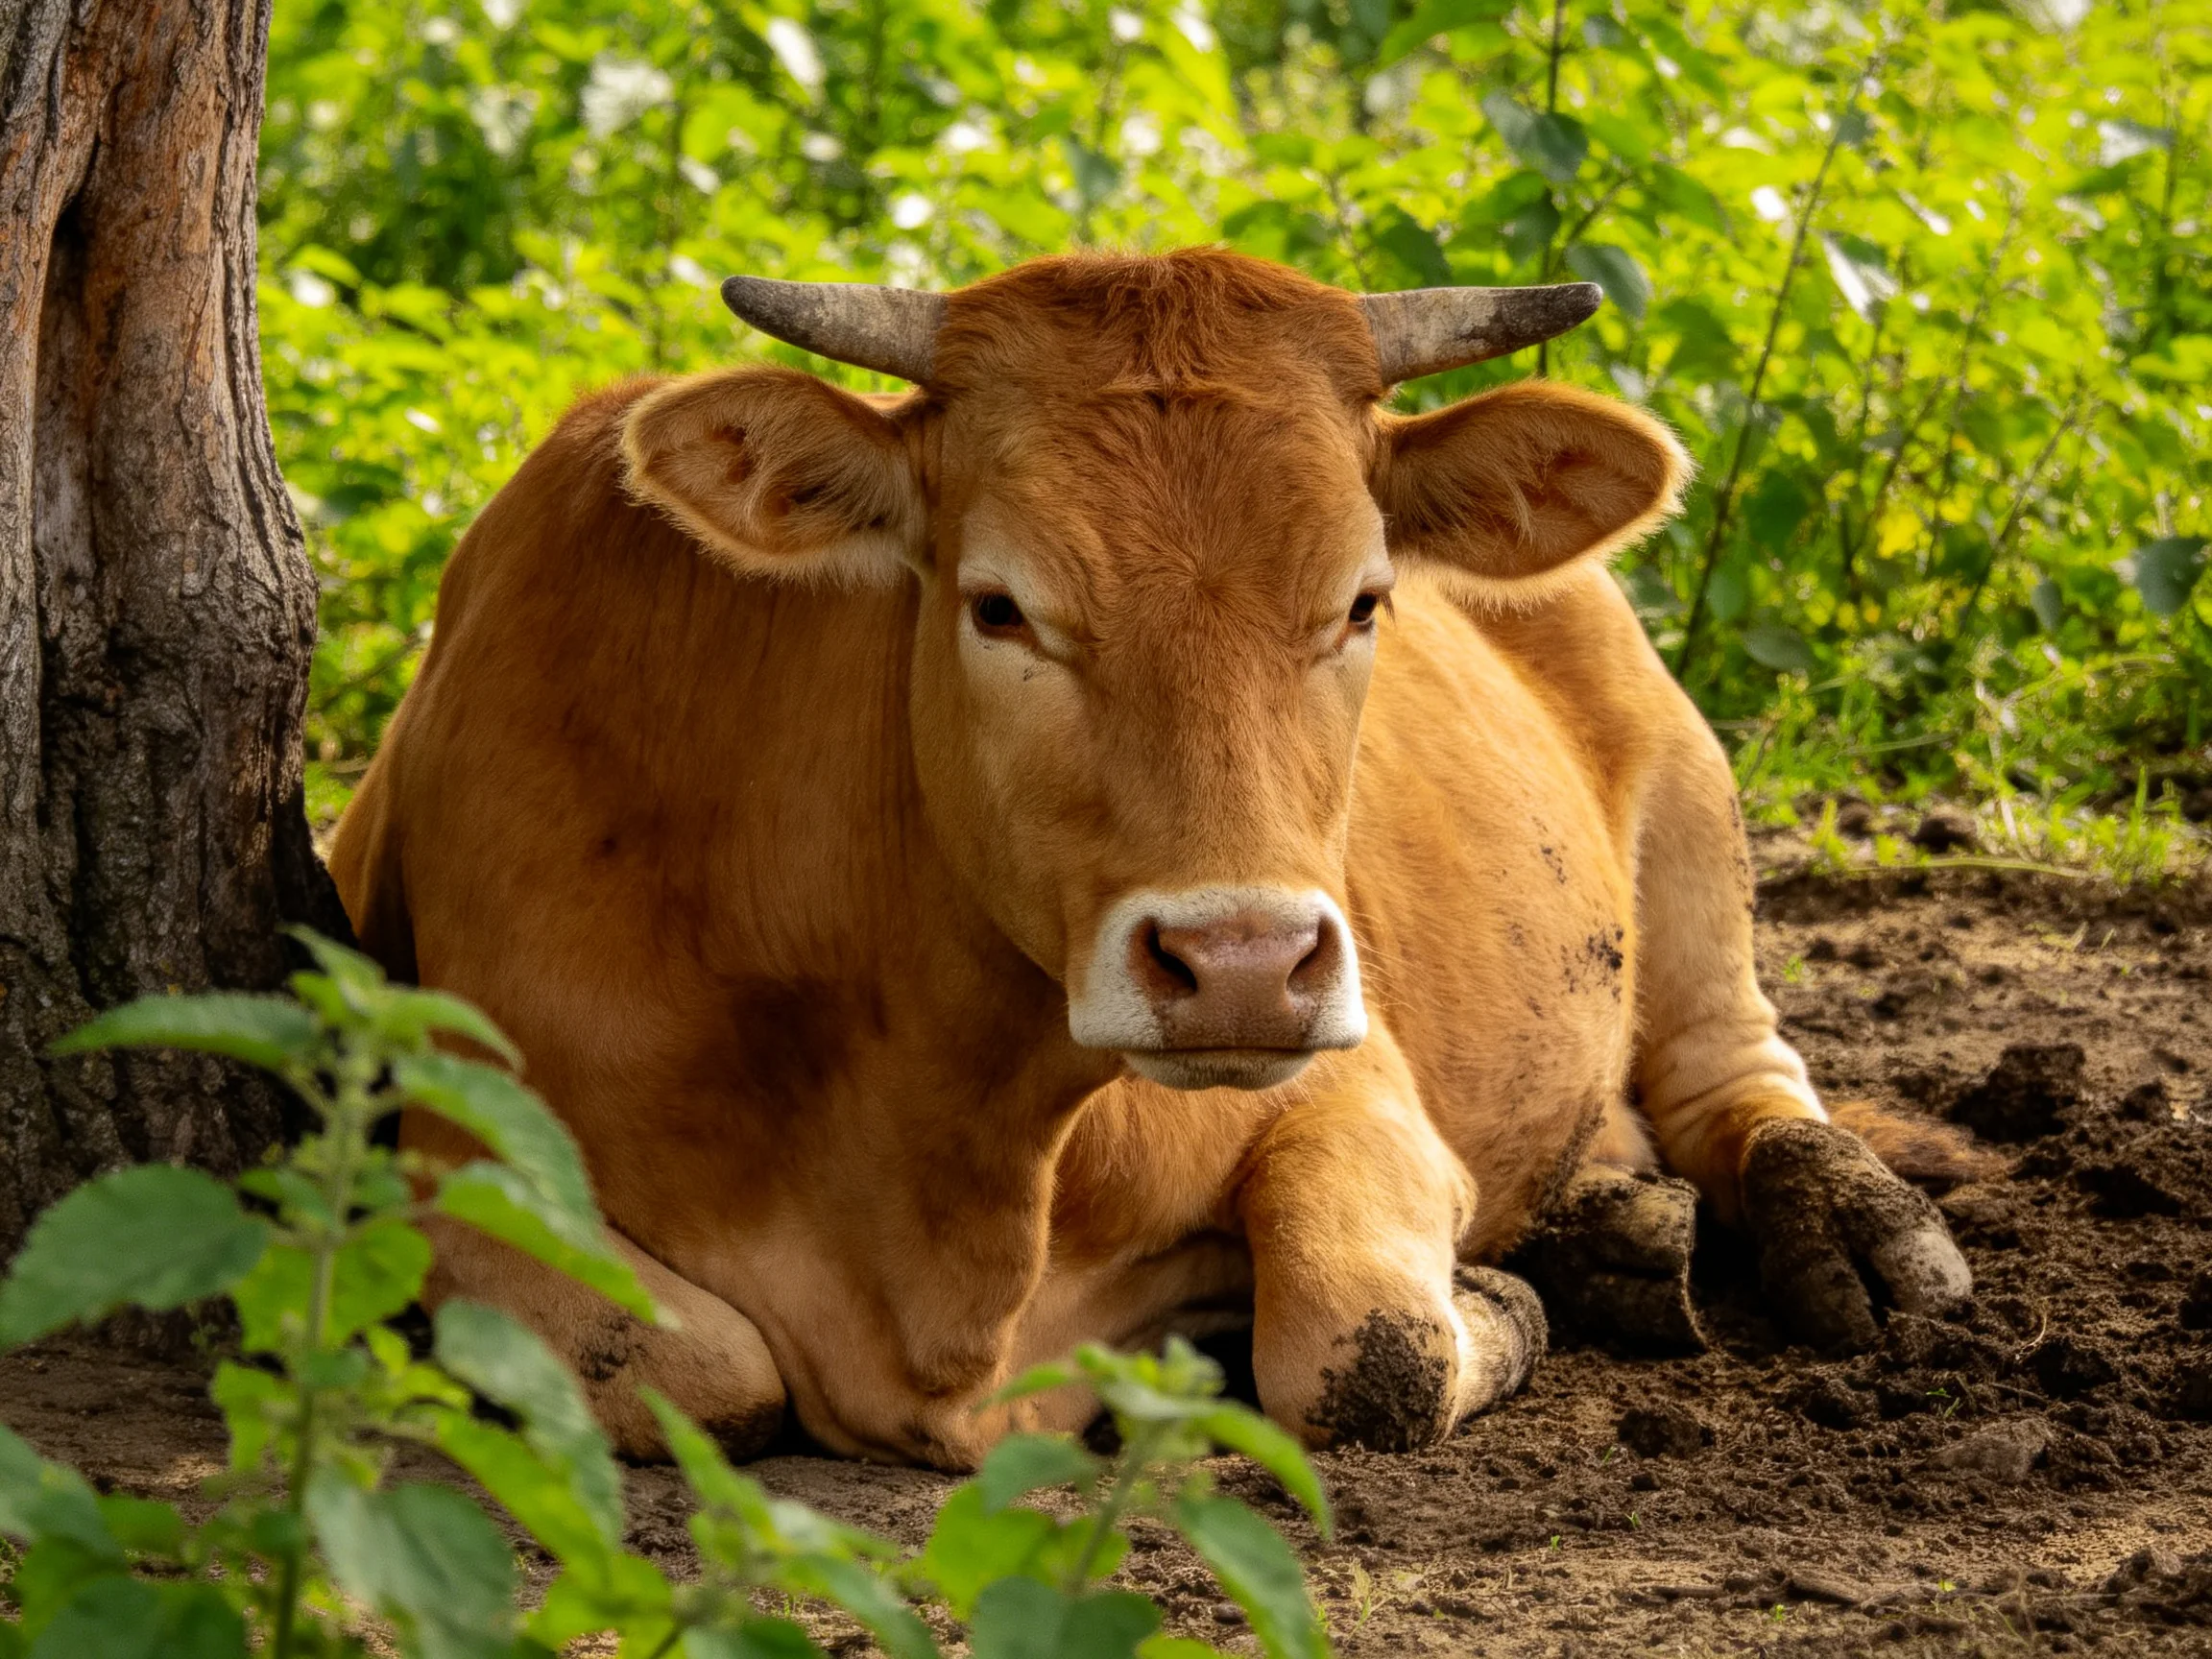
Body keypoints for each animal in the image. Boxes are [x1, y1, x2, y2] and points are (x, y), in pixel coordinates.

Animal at [330, 249, 1985, 1468]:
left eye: (1364, 599)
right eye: (1000, 606)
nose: (1241, 967)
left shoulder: (1350, 1082)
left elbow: (1365, 1356)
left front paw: (1462, 1301)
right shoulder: (446, 1148)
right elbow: (691, 1367)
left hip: (1694, 823)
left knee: (1741, 1079)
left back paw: (1852, 1233)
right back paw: (1613, 1233)